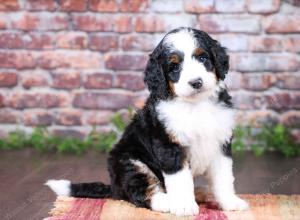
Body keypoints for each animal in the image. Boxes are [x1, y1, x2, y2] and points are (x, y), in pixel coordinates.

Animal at [46, 26, 248, 216]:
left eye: (203, 58)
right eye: (174, 67)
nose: (196, 82)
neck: (196, 105)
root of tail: (114, 187)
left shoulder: (220, 143)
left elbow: (223, 178)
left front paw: (230, 202)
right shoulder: (169, 147)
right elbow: (181, 180)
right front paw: (183, 205)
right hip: (130, 163)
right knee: (140, 192)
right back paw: (168, 201)